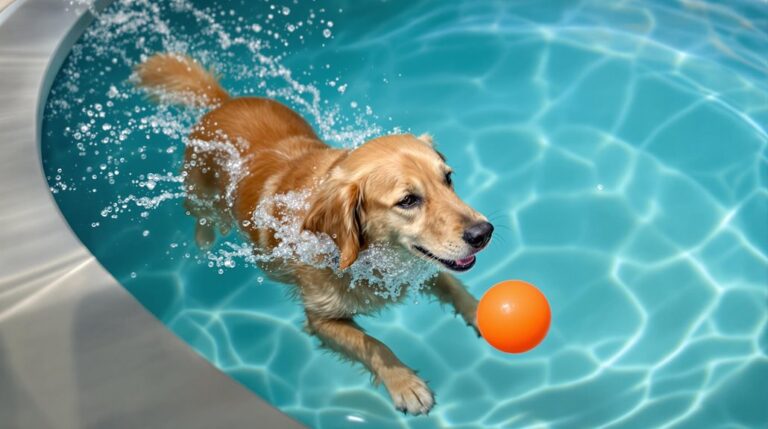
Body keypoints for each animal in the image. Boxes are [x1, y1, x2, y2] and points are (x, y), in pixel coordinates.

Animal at [135, 51, 496, 412]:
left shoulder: (417, 266)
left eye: (448, 178)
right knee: (201, 215)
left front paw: (482, 314)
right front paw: (405, 383)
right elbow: (373, 344)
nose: (484, 232)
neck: (362, 256)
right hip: (201, 192)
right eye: (408, 200)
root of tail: (222, 102)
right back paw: (205, 239)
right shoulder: (321, 320)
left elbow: (454, 287)